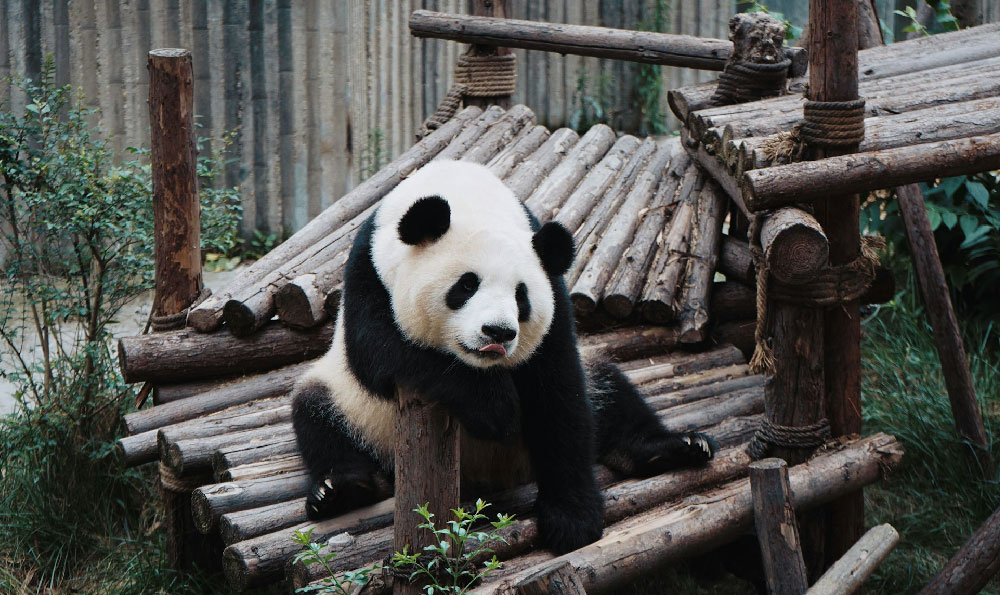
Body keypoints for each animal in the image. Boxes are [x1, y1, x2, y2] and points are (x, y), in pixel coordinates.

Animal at [292, 158, 716, 556]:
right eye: (466, 285)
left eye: (521, 296)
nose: (498, 332)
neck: (462, 190)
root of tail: (490, 476)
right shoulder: (368, 271)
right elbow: (384, 352)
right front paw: (494, 407)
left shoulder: (554, 294)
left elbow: (559, 390)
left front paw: (572, 518)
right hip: (354, 406)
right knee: (316, 414)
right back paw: (340, 489)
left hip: (588, 384)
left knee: (610, 393)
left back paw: (672, 447)